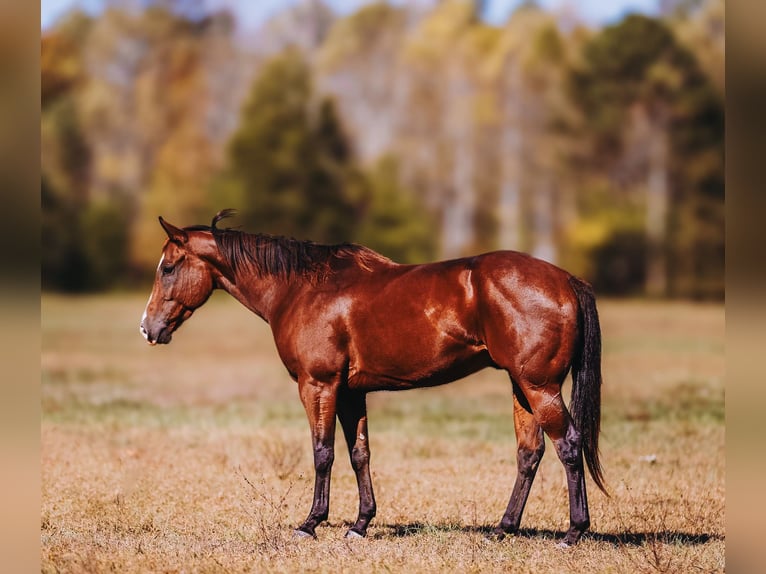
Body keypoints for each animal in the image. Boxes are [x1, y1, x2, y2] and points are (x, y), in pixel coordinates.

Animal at [140, 209, 606, 546]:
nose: (147, 328)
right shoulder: (350, 393)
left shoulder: (318, 385)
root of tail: (566, 279)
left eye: (168, 268)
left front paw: (310, 523)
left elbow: (323, 452)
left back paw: (572, 532)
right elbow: (359, 454)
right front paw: (360, 524)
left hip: (539, 387)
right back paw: (503, 529)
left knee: (568, 445)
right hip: (521, 387)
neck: (301, 289)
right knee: (529, 453)